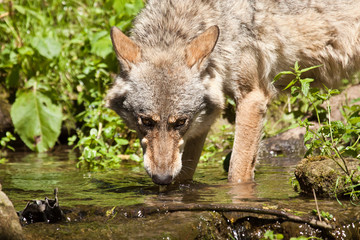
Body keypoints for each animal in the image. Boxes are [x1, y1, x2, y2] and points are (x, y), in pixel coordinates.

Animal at [106, 0, 360, 186]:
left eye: (180, 122)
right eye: (146, 121)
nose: (161, 179)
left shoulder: (252, 98)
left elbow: (237, 171)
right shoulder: (205, 120)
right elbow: (185, 173)